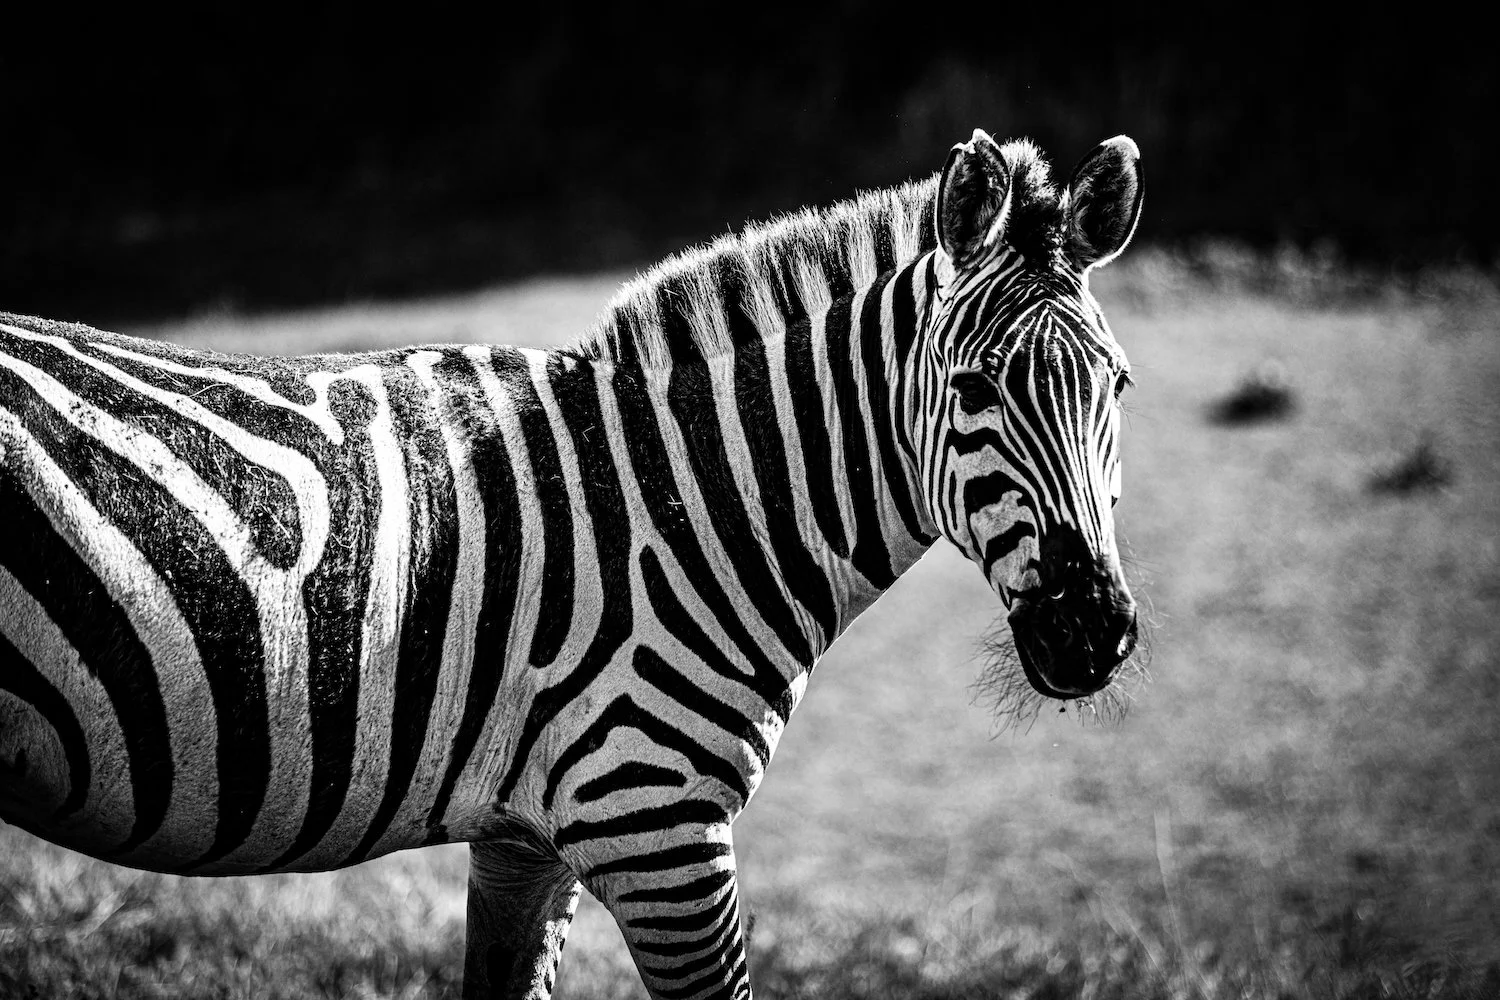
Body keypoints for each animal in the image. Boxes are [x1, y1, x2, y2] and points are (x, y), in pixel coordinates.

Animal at [0, 127, 1144, 999]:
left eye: (1118, 388)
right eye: (973, 386)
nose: (1093, 631)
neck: (687, 503)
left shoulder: (530, 839)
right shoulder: (653, 823)